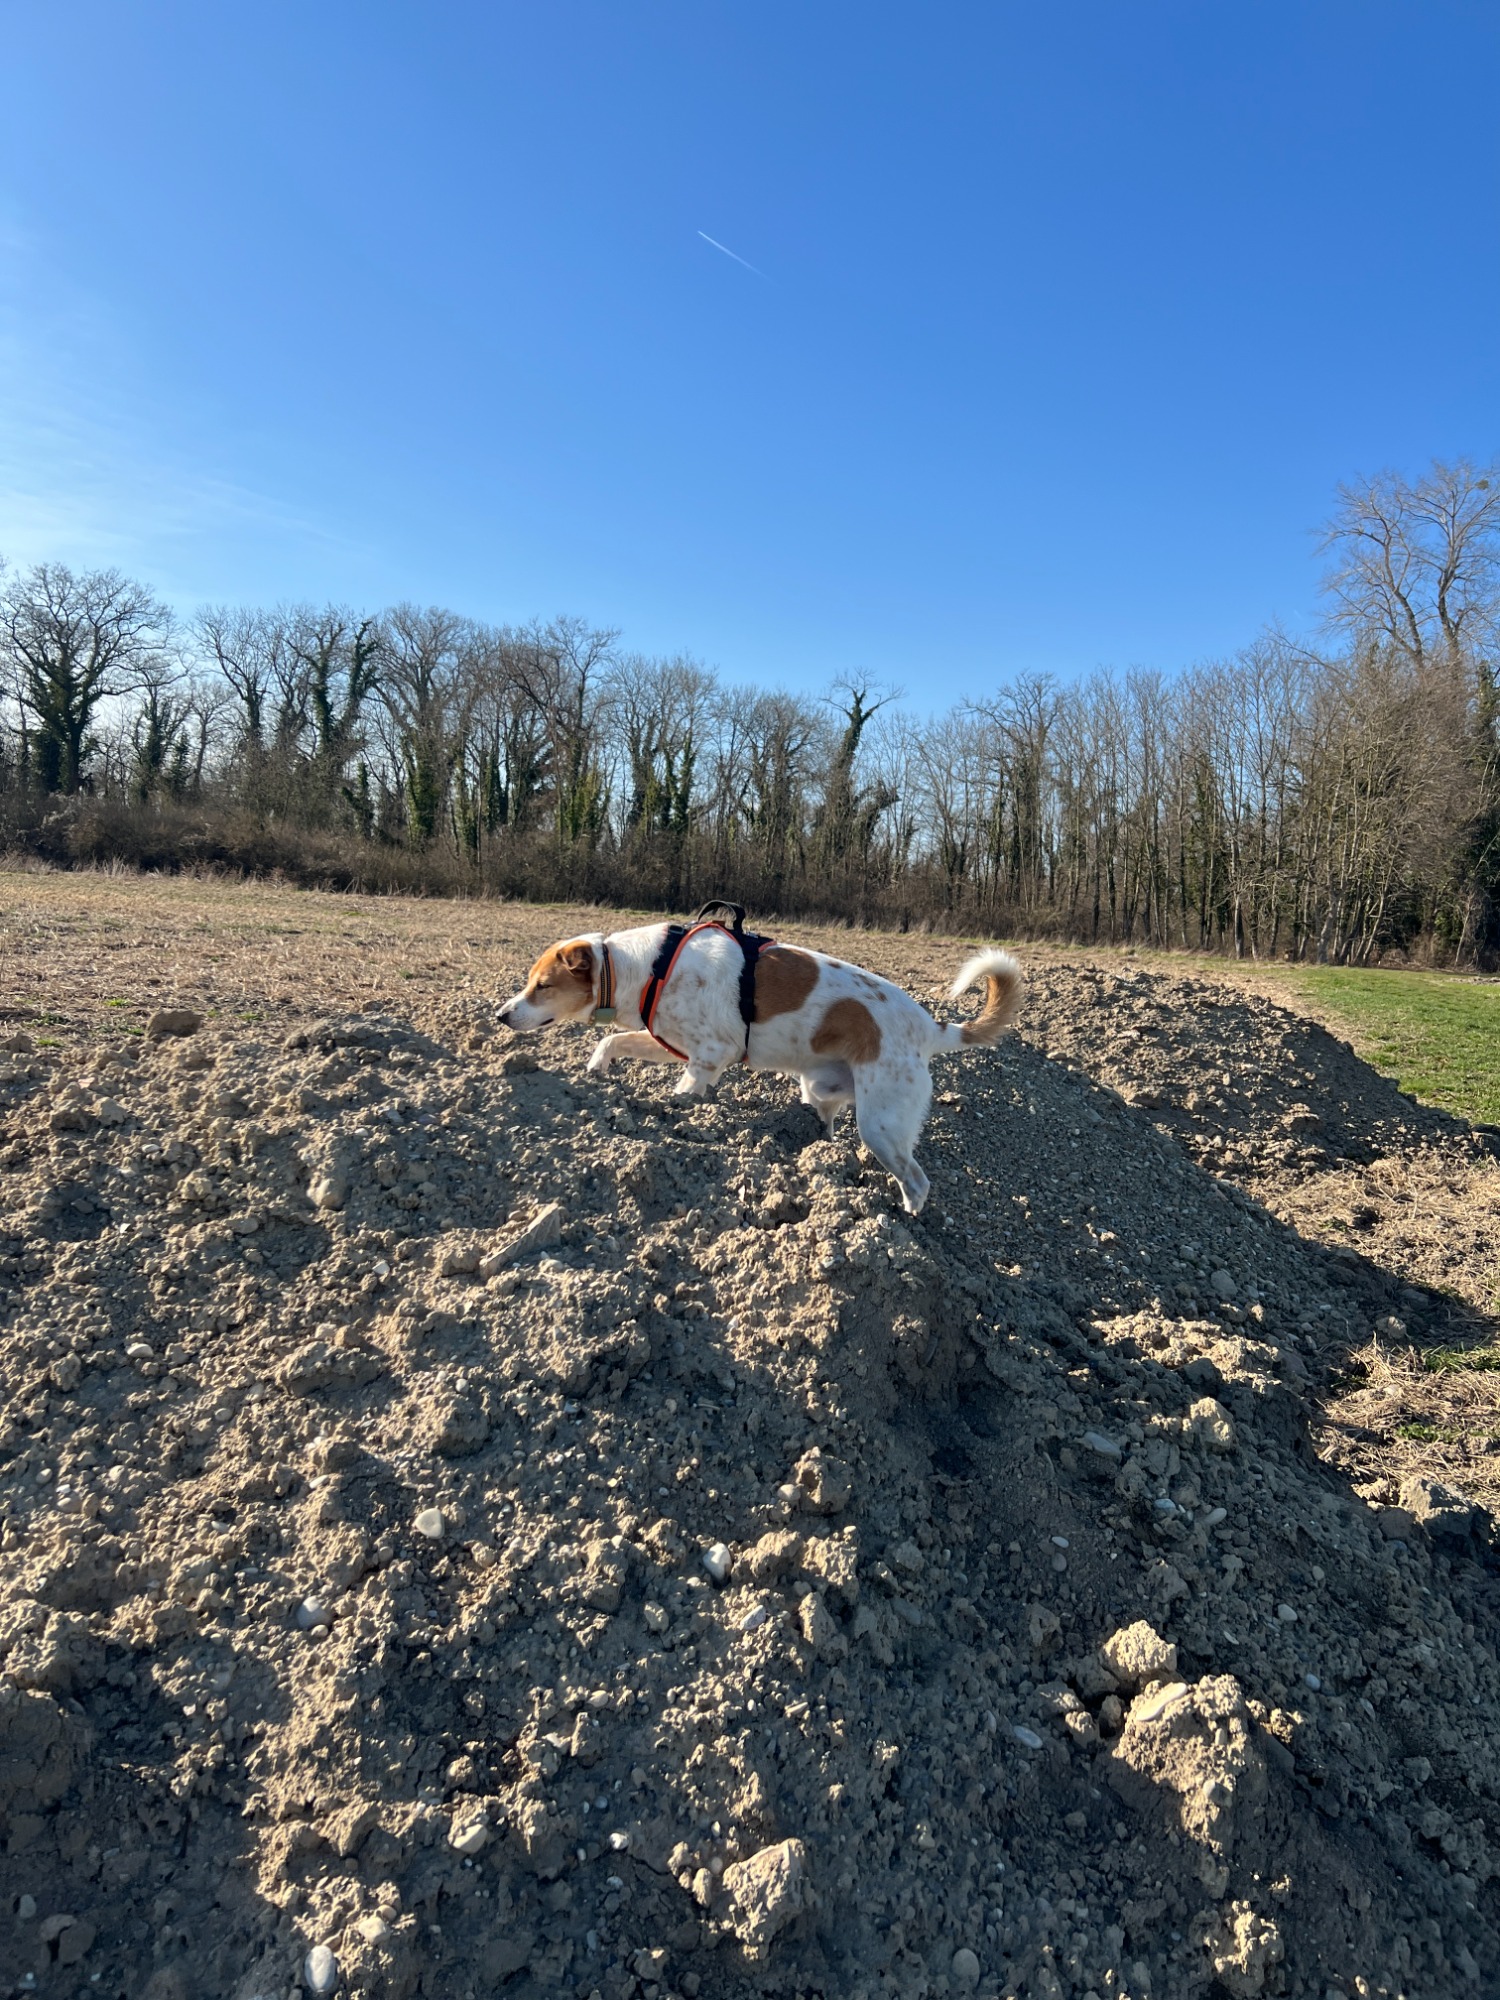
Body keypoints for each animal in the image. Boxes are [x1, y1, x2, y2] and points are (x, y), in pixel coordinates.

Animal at [496, 922, 1022, 1214]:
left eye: (543, 985)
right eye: (529, 981)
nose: (500, 1016)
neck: (643, 967)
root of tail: (932, 1027)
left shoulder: (709, 1056)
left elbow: (683, 1096)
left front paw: (674, 1117)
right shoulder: (671, 1042)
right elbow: (612, 1040)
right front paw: (595, 1070)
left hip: (882, 1125)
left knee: (917, 1179)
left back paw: (903, 1218)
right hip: (820, 1091)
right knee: (826, 1126)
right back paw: (821, 1161)